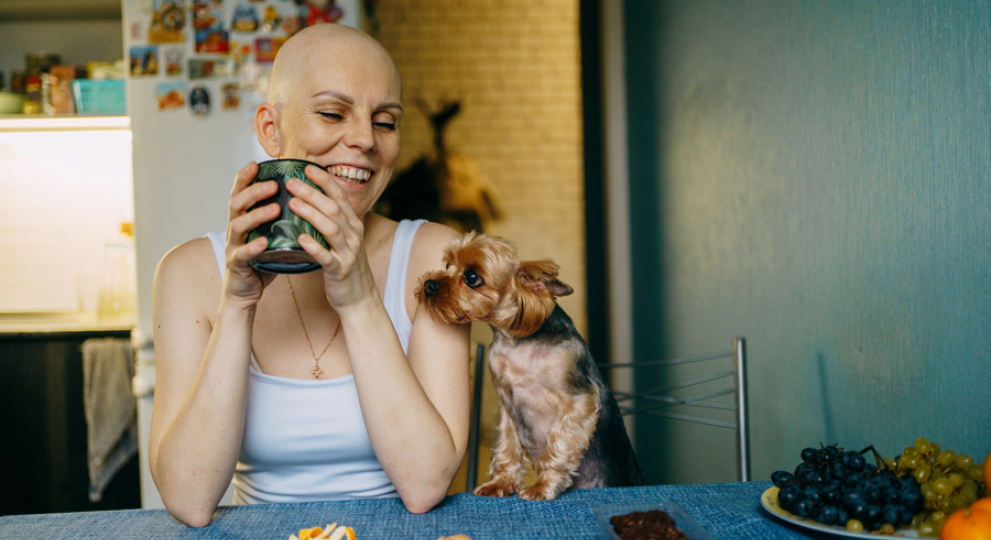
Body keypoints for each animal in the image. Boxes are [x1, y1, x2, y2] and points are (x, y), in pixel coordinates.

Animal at [414, 232, 648, 502]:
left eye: (472, 278)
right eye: (447, 266)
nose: (429, 285)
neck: (515, 342)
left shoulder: (578, 401)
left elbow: (558, 445)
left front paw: (541, 488)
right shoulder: (507, 403)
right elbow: (507, 445)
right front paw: (501, 483)